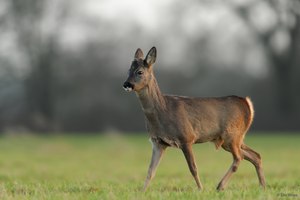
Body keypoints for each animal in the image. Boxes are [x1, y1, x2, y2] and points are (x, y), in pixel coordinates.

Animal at [123, 46, 266, 191]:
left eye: (140, 72)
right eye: (128, 70)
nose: (126, 84)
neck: (163, 110)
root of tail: (247, 103)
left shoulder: (186, 137)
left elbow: (193, 168)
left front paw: (200, 189)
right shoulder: (158, 142)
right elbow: (151, 171)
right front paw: (142, 191)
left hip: (232, 135)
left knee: (239, 158)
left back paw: (220, 185)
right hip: (234, 138)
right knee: (255, 155)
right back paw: (262, 186)